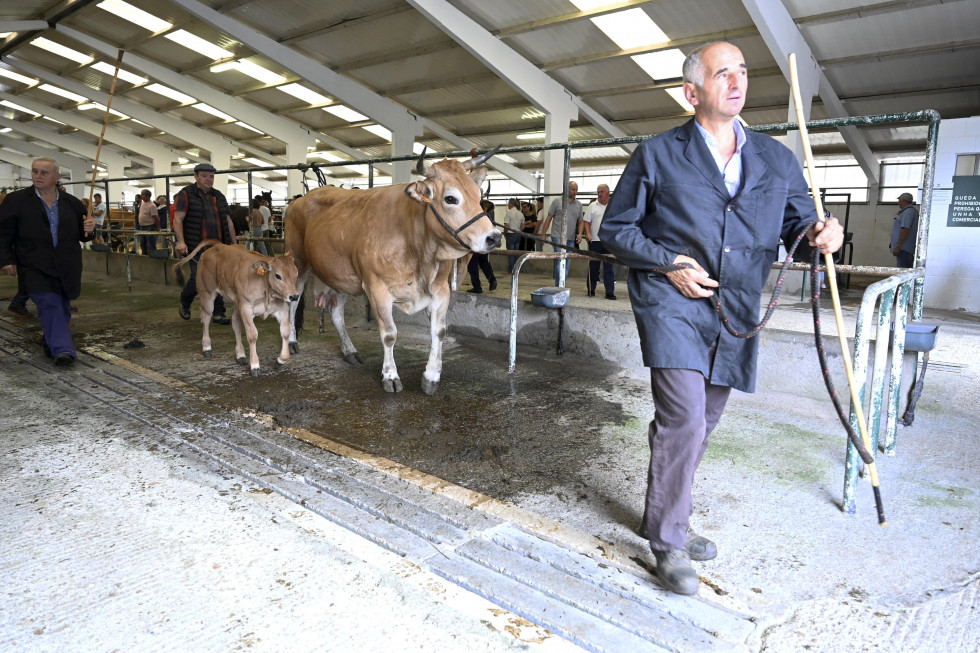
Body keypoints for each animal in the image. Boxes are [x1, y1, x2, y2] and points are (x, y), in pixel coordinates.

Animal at [172, 239, 300, 374]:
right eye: (278, 275)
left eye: (296, 273)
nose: (294, 296)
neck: (267, 291)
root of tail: (218, 245)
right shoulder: (246, 307)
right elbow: (252, 335)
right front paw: (255, 365)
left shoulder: (282, 308)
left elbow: (286, 332)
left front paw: (280, 360)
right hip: (207, 292)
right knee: (206, 318)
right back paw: (207, 348)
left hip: (237, 302)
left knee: (235, 322)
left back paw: (240, 355)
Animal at [282, 148, 498, 392]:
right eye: (450, 198)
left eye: (478, 196)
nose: (494, 237)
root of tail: (303, 198)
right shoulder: (377, 289)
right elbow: (389, 334)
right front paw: (390, 376)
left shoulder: (441, 290)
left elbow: (439, 331)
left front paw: (431, 376)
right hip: (298, 263)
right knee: (292, 303)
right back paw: (292, 341)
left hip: (341, 275)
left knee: (336, 312)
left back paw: (349, 351)